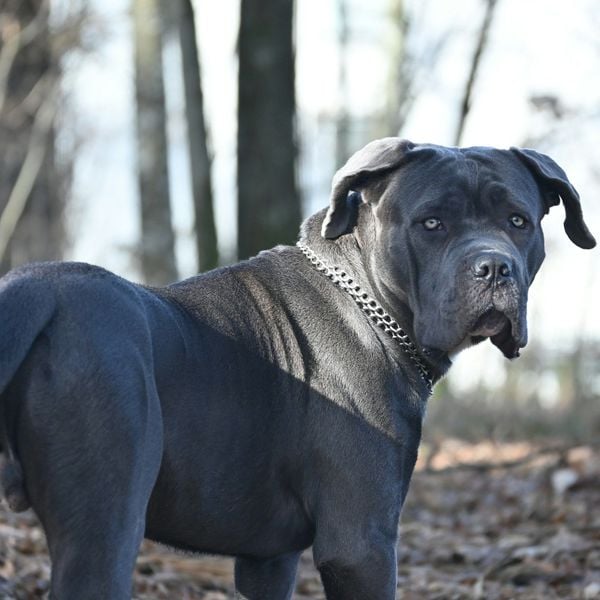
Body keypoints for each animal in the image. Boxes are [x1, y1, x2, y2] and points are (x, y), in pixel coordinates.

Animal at [0, 138, 592, 596]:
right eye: (431, 223)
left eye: (518, 221)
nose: (494, 267)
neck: (367, 299)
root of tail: (34, 293)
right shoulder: (361, 545)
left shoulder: (268, 560)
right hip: (105, 529)